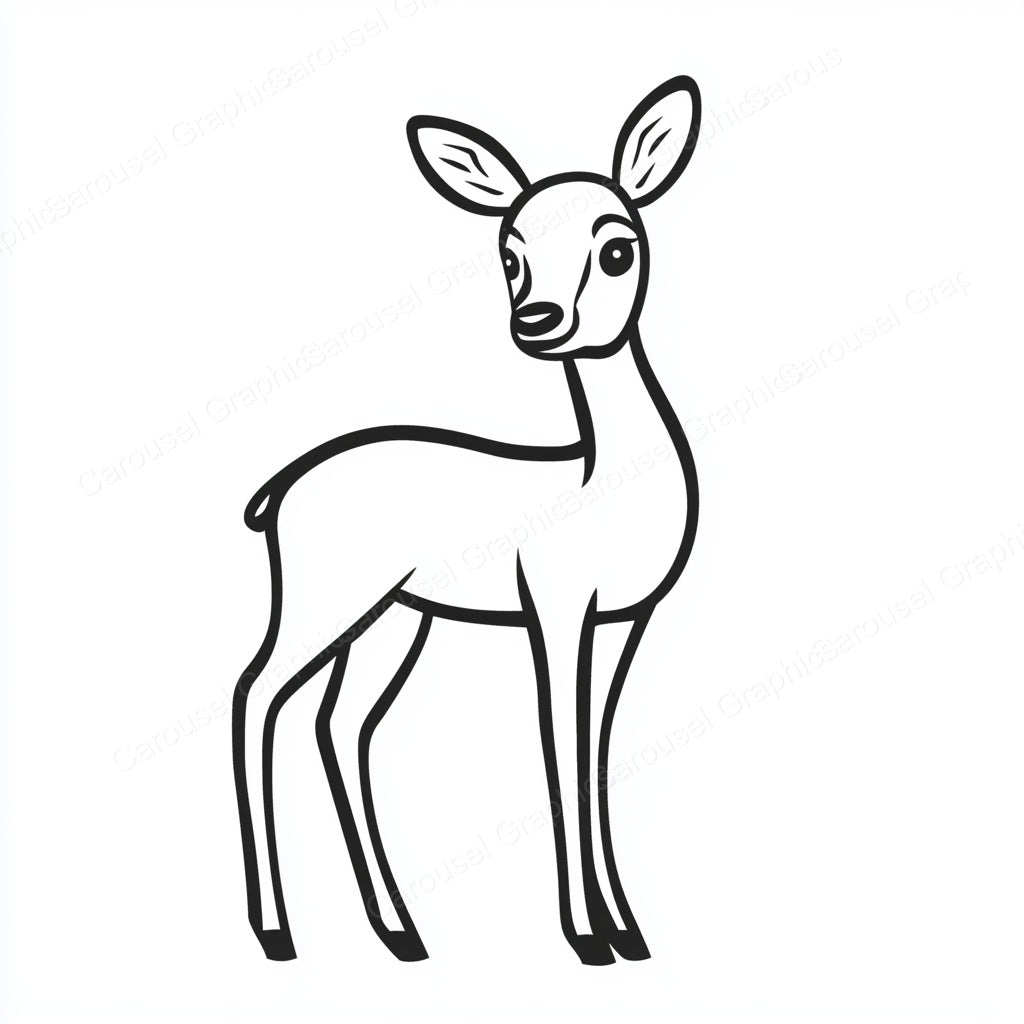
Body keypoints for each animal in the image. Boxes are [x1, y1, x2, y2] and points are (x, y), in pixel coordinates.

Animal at [232, 75, 702, 967]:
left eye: (616, 248)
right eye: (510, 255)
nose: (539, 319)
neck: (601, 479)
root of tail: (277, 489)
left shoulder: (628, 619)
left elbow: (597, 750)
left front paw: (629, 930)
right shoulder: (556, 610)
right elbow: (559, 747)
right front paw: (587, 938)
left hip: (391, 620)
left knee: (339, 725)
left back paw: (400, 932)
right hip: (323, 605)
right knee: (255, 695)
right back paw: (278, 932)